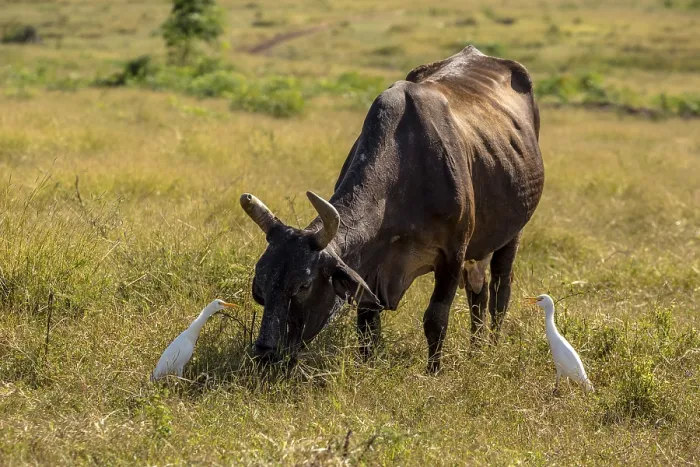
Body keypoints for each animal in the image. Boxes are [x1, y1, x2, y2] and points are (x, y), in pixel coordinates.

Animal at [240, 46, 545, 372]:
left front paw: (433, 372)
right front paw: (367, 365)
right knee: (479, 290)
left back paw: (490, 347)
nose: (265, 353)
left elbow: (435, 319)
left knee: (499, 292)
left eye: (303, 286)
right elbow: (367, 324)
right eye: (260, 286)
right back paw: (475, 350)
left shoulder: (452, 255)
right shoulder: (369, 268)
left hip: (512, 234)